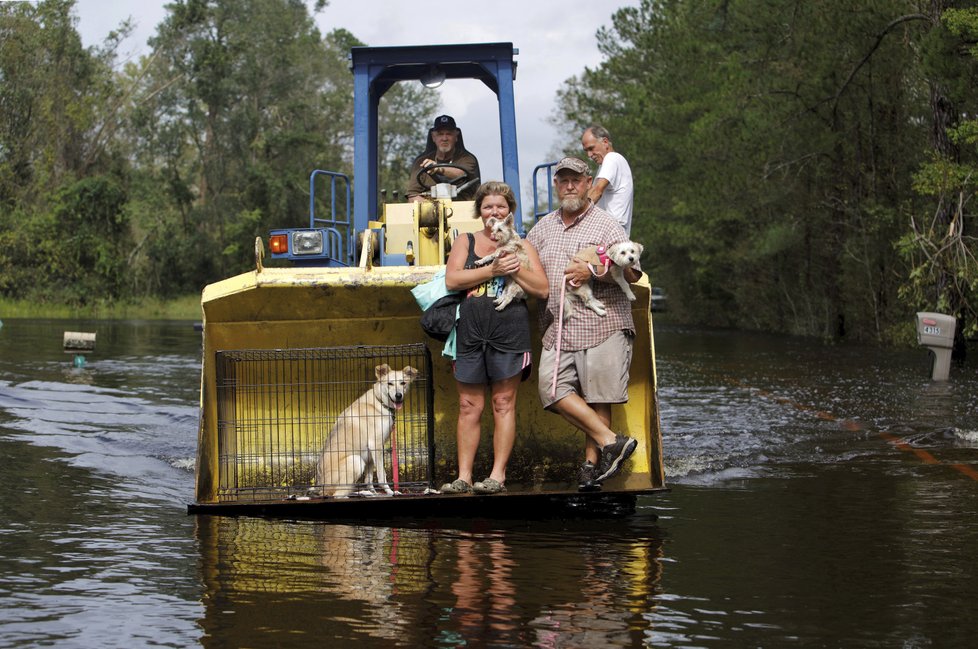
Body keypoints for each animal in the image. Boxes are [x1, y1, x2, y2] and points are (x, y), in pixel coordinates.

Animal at [312, 364, 420, 496]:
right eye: (390, 383)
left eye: (403, 383)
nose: (398, 395)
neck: (379, 402)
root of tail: (320, 487)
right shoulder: (376, 445)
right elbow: (382, 474)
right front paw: (389, 491)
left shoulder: (371, 453)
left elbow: (368, 478)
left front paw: (373, 492)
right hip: (355, 460)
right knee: (338, 494)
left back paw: (364, 492)